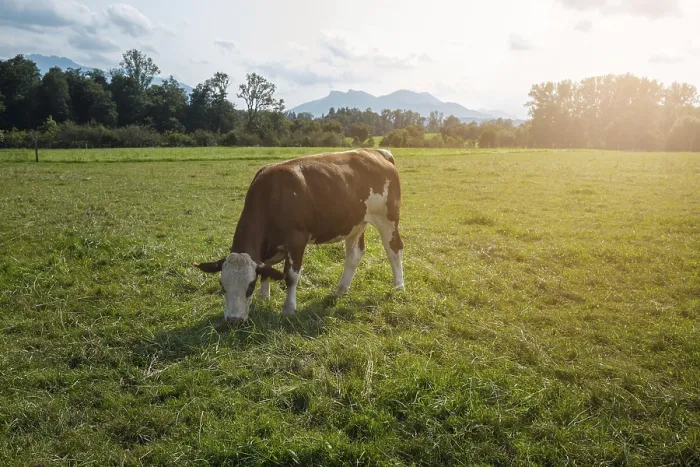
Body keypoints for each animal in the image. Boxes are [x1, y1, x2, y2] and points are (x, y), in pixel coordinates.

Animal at [194, 148, 405, 324]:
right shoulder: (267, 251)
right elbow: (267, 270)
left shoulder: (296, 241)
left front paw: (288, 308)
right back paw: (341, 290)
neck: (272, 196)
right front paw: (264, 298)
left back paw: (398, 286)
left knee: (394, 248)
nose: (233, 320)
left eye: (249, 286)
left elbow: (291, 276)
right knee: (354, 254)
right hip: (355, 223)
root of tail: (377, 152)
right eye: (222, 285)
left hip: (387, 218)